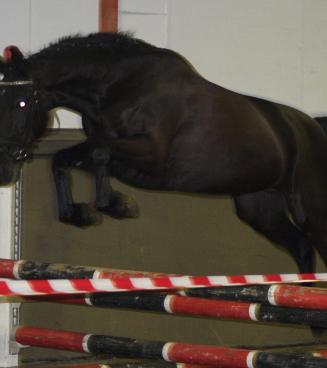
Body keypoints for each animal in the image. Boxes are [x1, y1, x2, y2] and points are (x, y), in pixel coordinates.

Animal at [0, 32, 327, 274]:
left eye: (22, 104)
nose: (5, 170)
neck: (119, 85)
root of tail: (315, 128)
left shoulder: (152, 154)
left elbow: (100, 153)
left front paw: (116, 205)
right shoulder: (122, 160)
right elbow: (67, 158)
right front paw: (86, 212)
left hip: (310, 208)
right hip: (259, 208)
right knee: (300, 246)